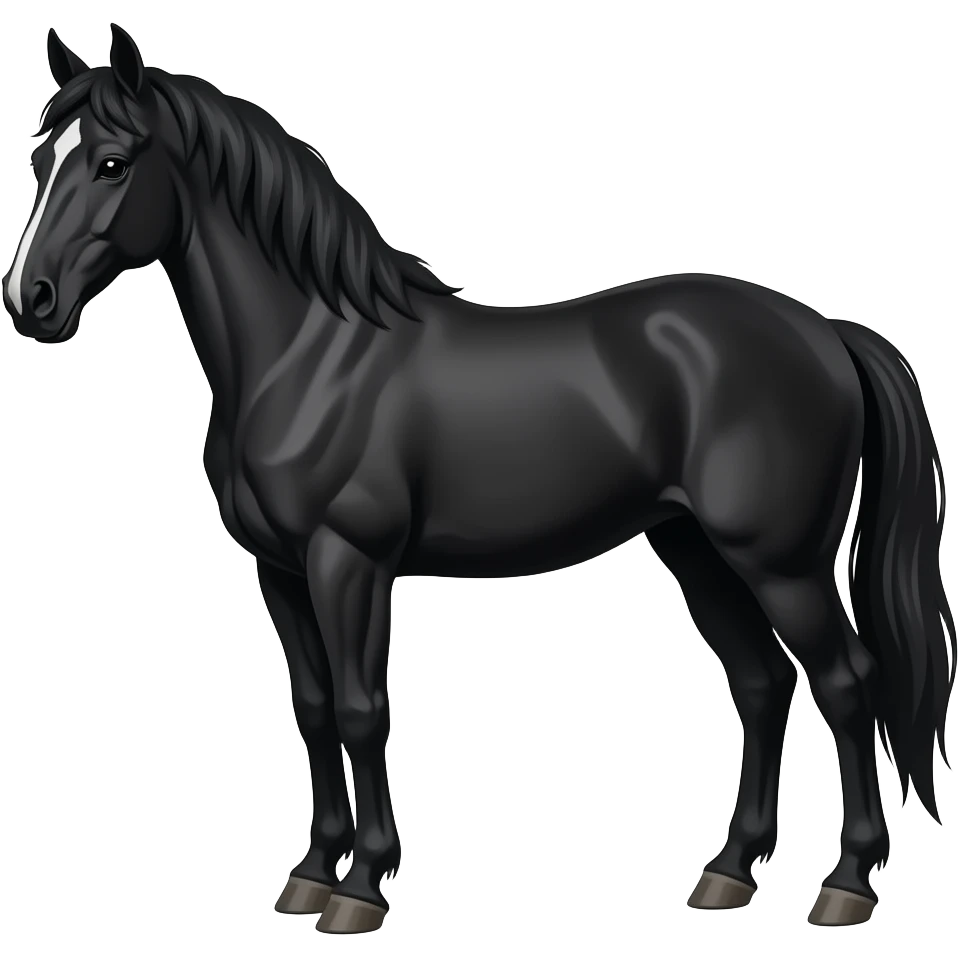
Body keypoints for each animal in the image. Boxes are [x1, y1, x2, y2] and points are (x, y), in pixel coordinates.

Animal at [4, 25, 954, 934]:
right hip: (697, 550)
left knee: (847, 684)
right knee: (761, 687)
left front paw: (362, 889)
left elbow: (362, 709)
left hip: (780, 563)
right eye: (41, 161)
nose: (30, 301)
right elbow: (313, 708)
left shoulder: (349, 562)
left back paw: (846, 885)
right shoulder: (280, 570)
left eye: (113, 162)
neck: (311, 353)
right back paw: (727, 874)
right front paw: (310, 875)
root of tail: (827, 332)